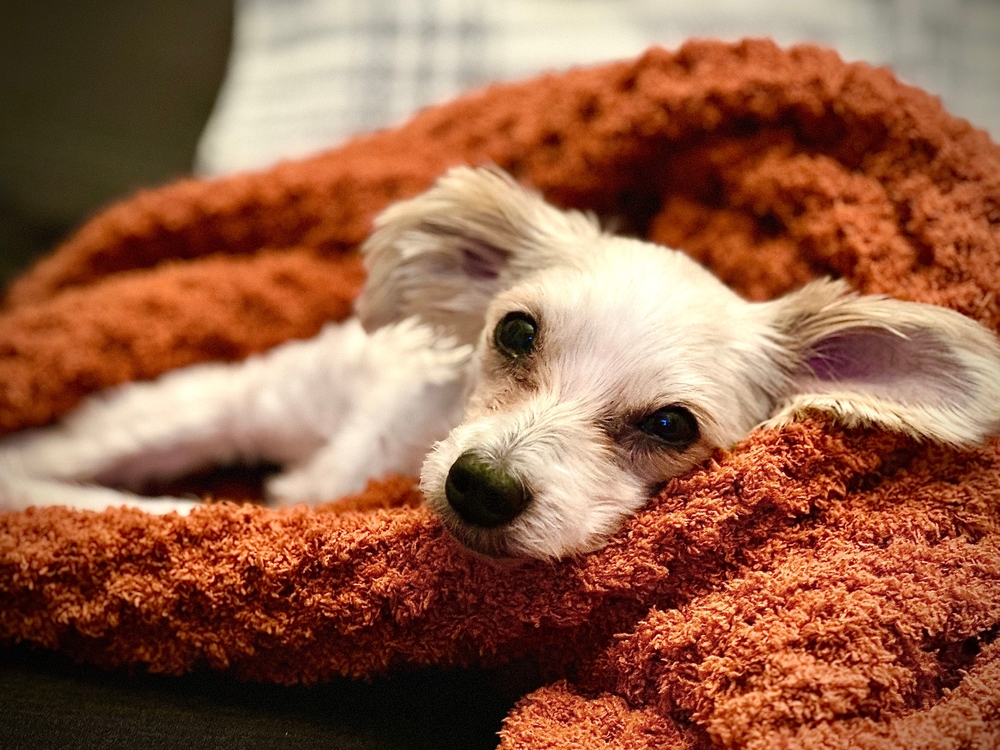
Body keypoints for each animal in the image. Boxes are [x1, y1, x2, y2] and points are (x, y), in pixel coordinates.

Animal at [2, 166, 1000, 559]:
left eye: (671, 425)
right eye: (516, 332)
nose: (481, 487)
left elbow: (155, 510)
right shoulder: (232, 398)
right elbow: (96, 469)